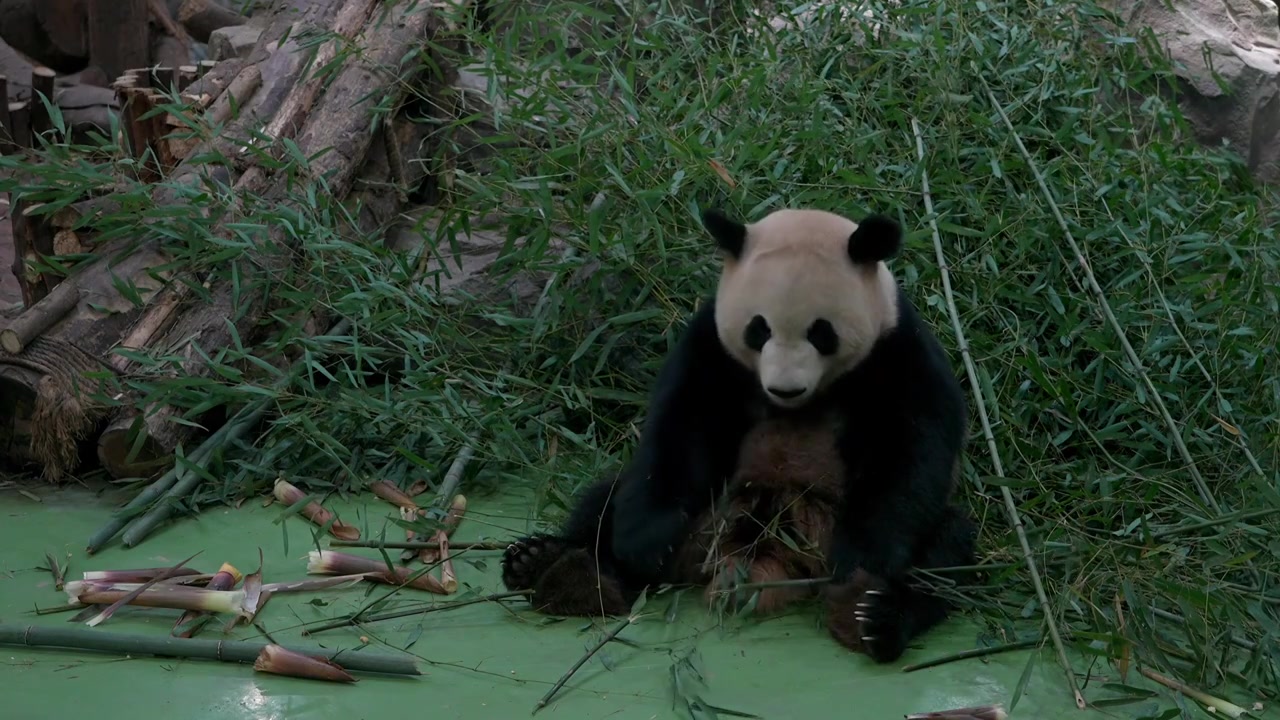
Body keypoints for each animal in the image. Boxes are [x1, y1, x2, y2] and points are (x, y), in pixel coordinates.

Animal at [501, 204, 977, 661]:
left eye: (822, 333)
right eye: (759, 328)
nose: (785, 387)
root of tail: (763, 555)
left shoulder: (898, 350)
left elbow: (909, 453)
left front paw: (860, 558)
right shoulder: (711, 345)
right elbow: (679, 430)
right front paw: (645, 545)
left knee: (944, 552)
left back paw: (872, 617)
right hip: (705, 514)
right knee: (605, 503)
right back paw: (557, 571)